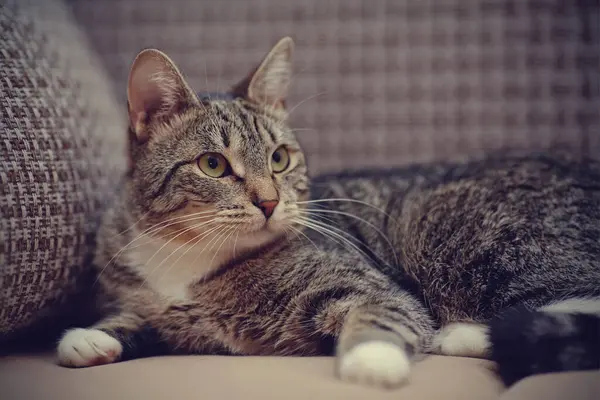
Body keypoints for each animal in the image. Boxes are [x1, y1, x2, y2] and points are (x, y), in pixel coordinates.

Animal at [56, 36, 600, 388]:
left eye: (279, 158)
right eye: (213, 164)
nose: (269, 201)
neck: (187, 259)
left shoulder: (364, 284)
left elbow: (384, 310)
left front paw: (372, 360)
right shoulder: (157, 310)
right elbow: (134, 320)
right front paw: (91, 338)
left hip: (467, 234)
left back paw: (460, 332)